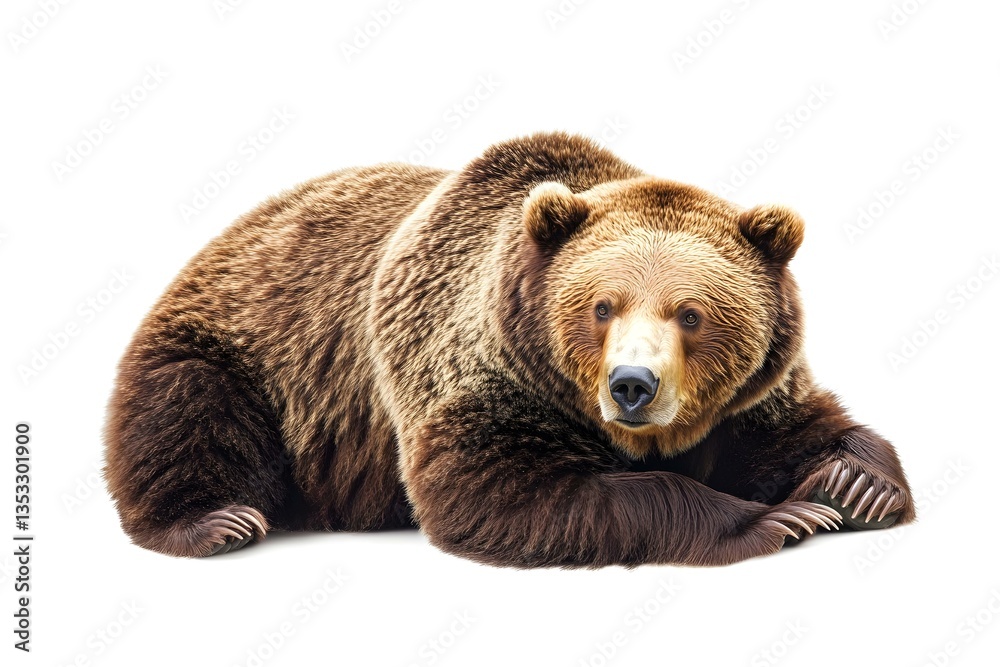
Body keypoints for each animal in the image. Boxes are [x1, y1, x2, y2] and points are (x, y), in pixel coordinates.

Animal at [104, 131, 915, 566]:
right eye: (601, 306)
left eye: (690, 313)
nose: (632, 384)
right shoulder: (476, 370)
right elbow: (502, 488)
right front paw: (774, 519)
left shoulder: (743, 397)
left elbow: (796, 423)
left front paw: (854, 483)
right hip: (242, 350)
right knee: (185, 413)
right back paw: (216, 521)